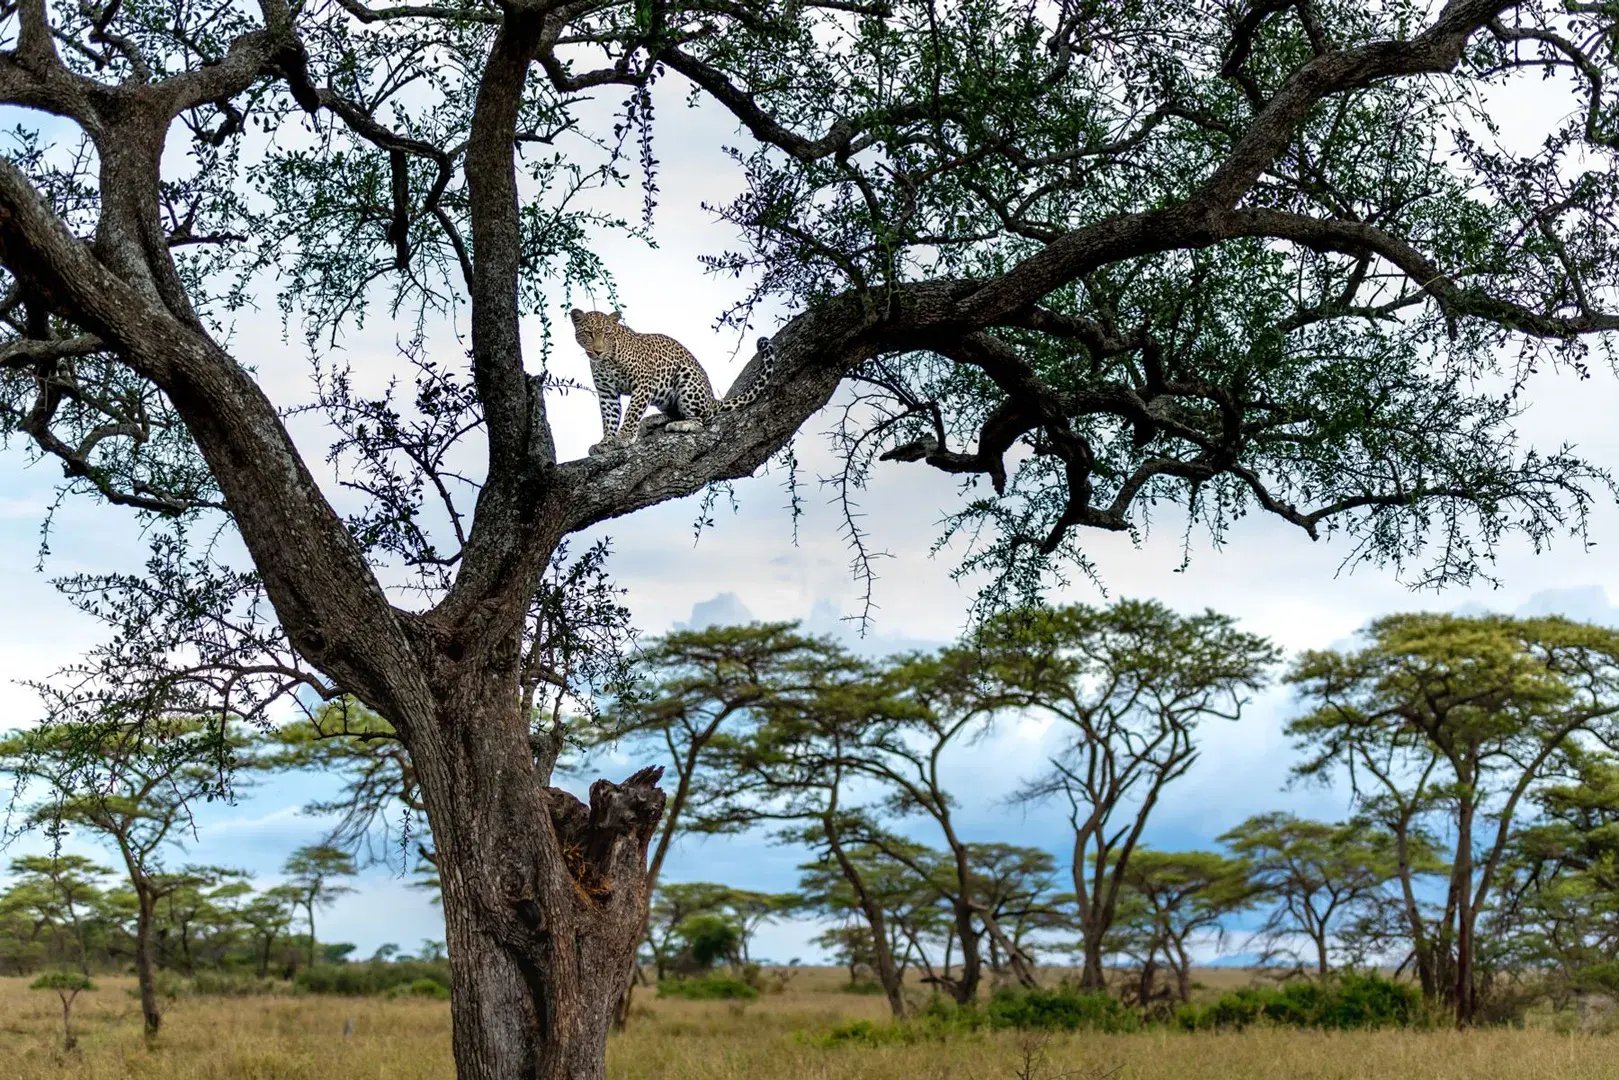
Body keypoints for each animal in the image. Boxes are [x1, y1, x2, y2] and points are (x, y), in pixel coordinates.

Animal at [566, 306, 773, 453]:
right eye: (589, 333)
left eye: (607, 334)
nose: (598, 351)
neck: (607, 360)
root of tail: (712, 399)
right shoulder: (607, 392)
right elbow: (609, 417)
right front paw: (606, 442)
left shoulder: (643, 383)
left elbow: (632, 412)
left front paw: (624, 437)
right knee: (676, 412)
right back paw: (653, 420)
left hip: (687, 377)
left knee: (701, 420)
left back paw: (683, 424)